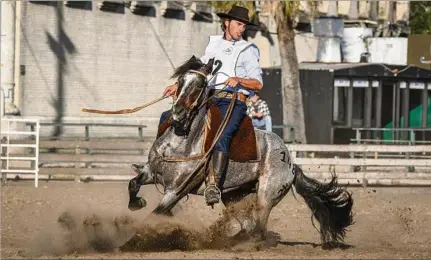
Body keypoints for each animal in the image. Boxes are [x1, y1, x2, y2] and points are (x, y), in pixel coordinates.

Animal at [127, 55, 354, 248]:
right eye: (181, 80)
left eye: (200, 85)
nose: (178, 112)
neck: (181, 143)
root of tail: (291, 162)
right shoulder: (151, 172)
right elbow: (133, 184)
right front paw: (136, 203)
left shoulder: (176, 191)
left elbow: (154, 215)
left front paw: (128, 244)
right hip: (235, 196)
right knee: (248, 227)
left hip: (266, 196)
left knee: (258, 230)